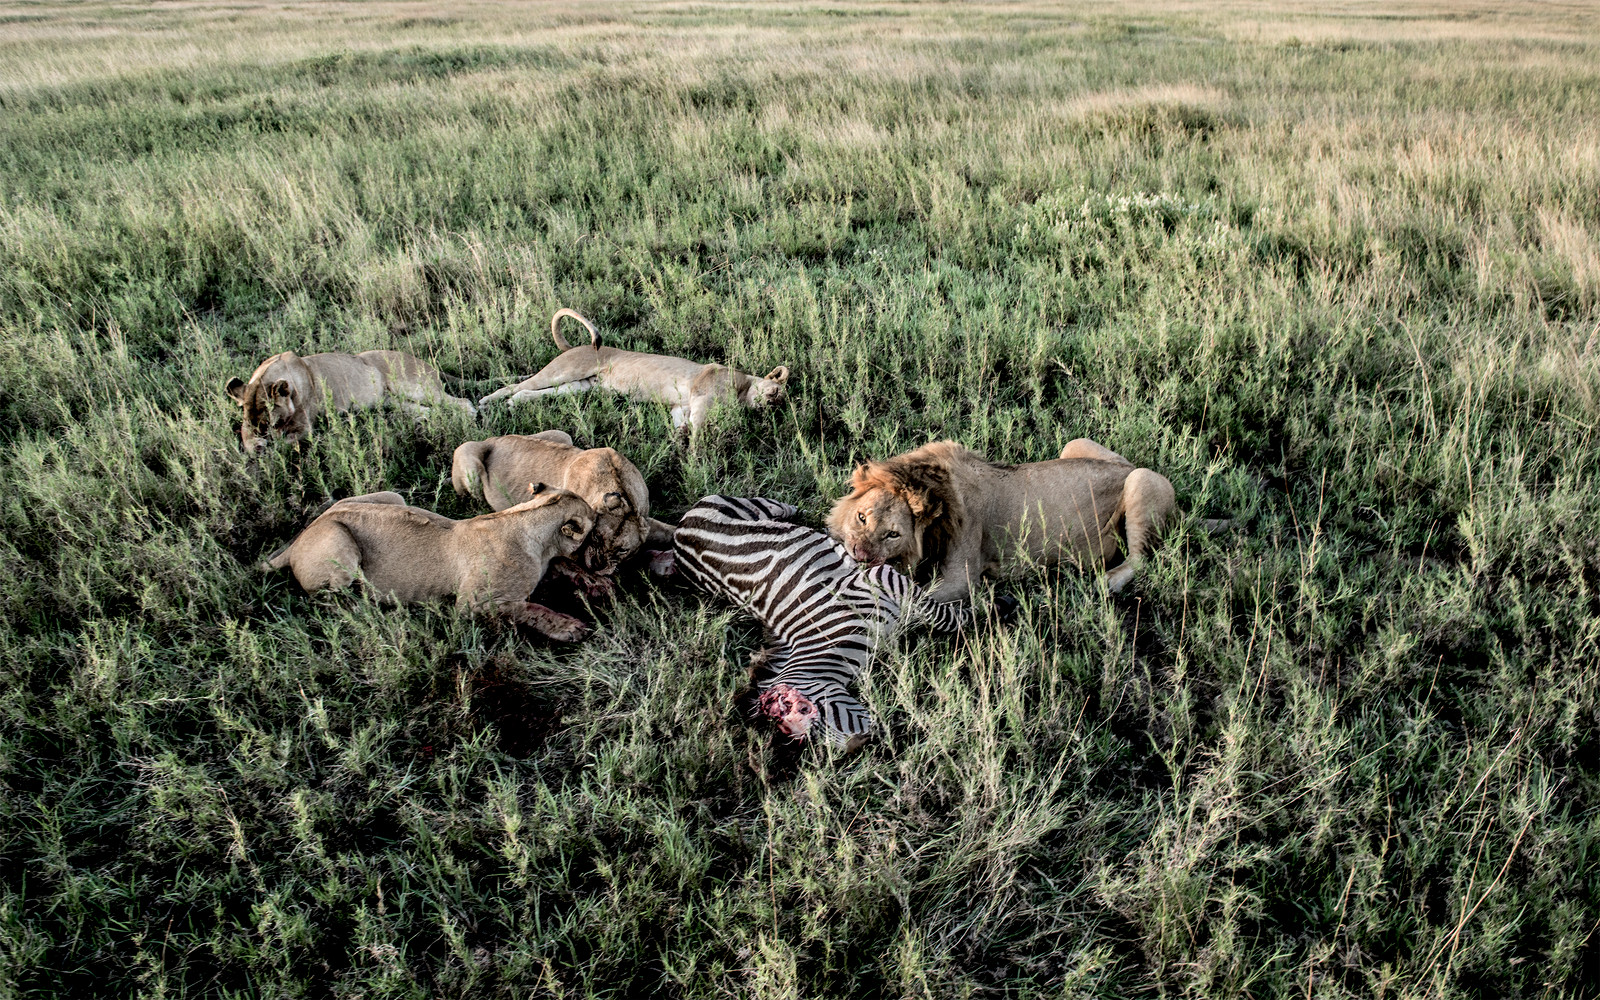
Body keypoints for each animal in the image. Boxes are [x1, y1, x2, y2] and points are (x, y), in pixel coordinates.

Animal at [225, 349, 476, 452]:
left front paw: (270, 448)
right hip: (392, 400)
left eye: (273, 421)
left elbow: (288, 440)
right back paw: (421, 422)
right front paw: (256, 446)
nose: (263, 435)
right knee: (427, 411)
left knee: (460, 402)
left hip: (412, 386)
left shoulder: (306, 426)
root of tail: (427, 363)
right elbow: (245, 435)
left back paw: (470, 414)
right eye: (253, 422)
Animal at [261, 487, 596, 641]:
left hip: (390, 497)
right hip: (339, 544)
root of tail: (300, 538)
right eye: (593, 520)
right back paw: (370, 611)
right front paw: (569, 626)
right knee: (327, 602)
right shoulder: (470, 604)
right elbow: (529, 608)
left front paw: (589, 582)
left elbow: (564, 570)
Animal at [451, 430, 676, 572]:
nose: (596, 566)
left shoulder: (645, 518)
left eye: (622, 550)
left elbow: (670, 531)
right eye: (596, 537)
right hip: (467, 456)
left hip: (562, 435)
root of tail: (491, 438)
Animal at [476, 309, 789, 433]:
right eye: (775, 391)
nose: (771, 405)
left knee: (533, 393)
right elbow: (700, 424)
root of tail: (572, 347)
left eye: (779, 403)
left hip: (581, 385)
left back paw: (513, 404)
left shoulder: (681, 405)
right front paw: (696, 453)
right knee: (515, 386)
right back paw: (486, 402)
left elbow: (681, 422)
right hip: (565, 371)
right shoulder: (703, 393)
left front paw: (680, 440)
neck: (743, 388)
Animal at [826, 438, 1176, 599]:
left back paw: (1107, 581)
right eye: (861, 517)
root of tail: (1127, 467)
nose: (860, 553)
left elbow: (910, 601)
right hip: (1076, 446)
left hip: (1142, 480)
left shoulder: (961, 578)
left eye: (893, 534)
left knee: (1140, 558)